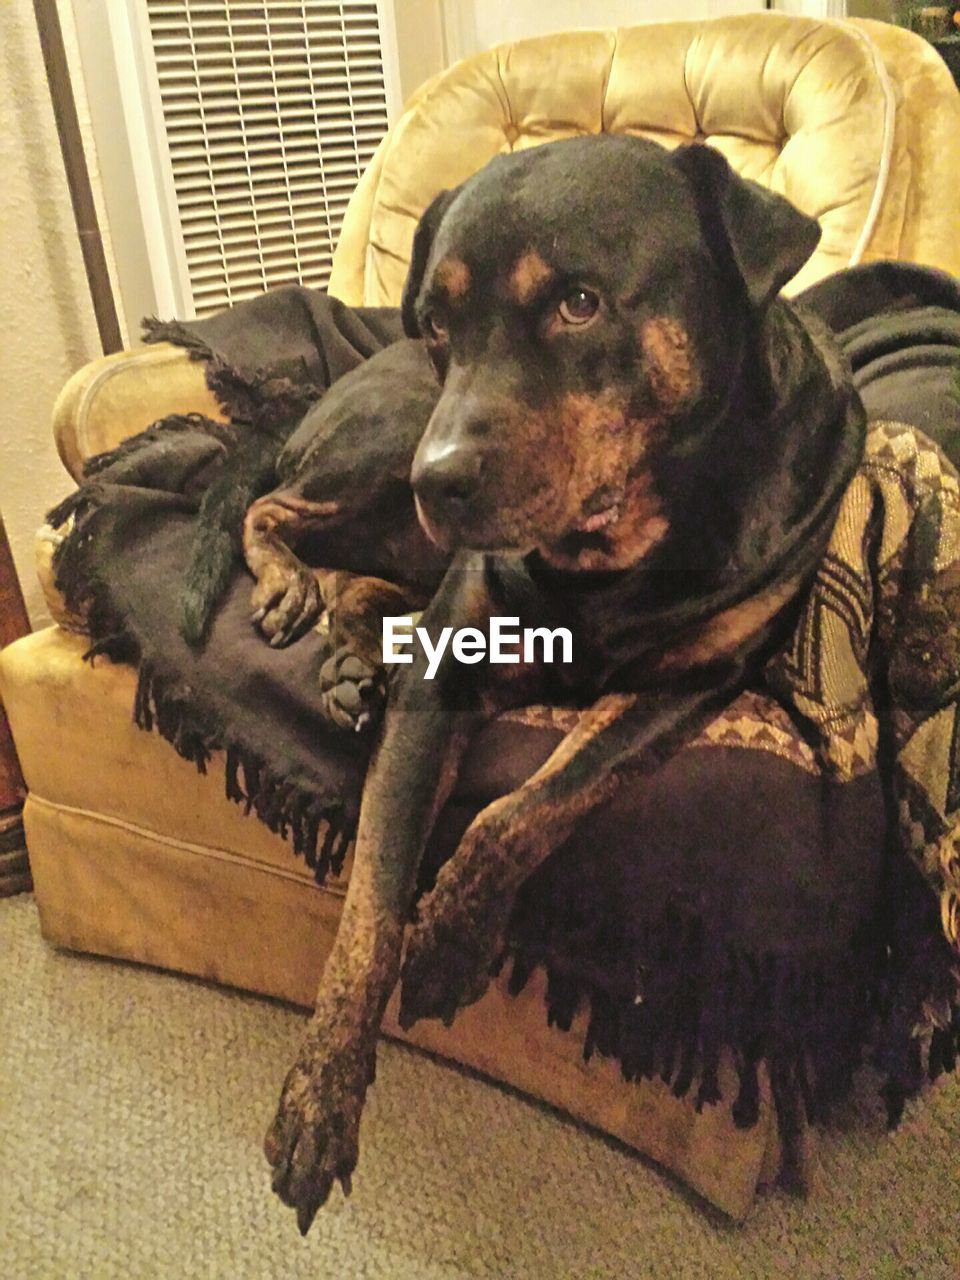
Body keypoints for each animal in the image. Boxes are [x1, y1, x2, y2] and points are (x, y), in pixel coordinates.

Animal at [253, 137, 865, 1228]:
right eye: (439, 324)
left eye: (580, 304)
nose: (440, 477)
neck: (621, 544)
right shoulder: (450, 662)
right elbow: (369, 907)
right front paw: (319, 1095)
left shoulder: (696, 681)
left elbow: (531, 803)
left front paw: (450, 937)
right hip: (379, 454)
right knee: (271, 508)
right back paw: (293, 589)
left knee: (356, 573)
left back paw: (354, 655)